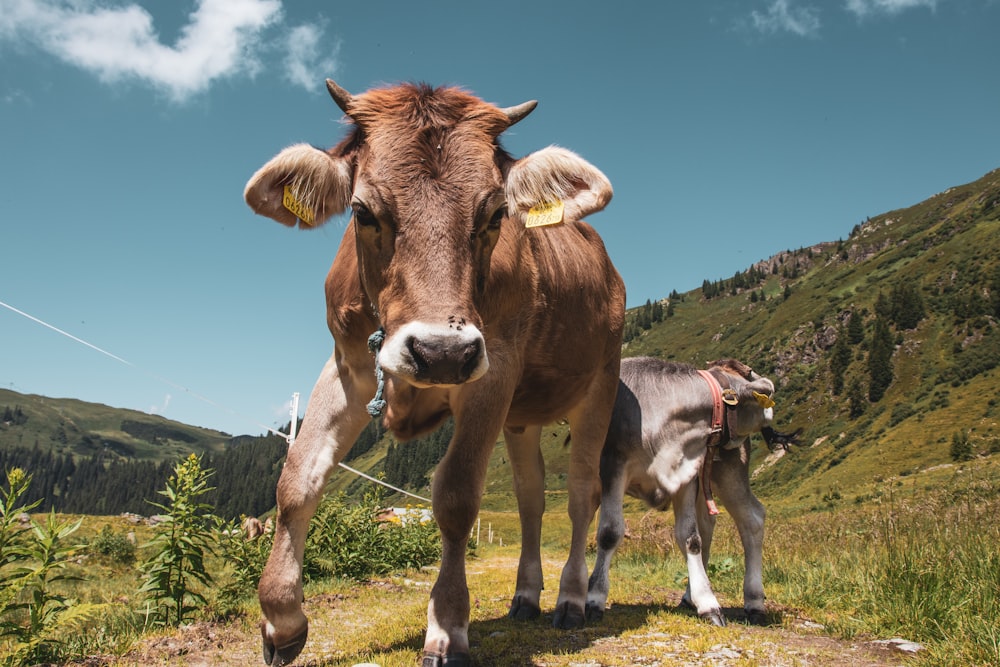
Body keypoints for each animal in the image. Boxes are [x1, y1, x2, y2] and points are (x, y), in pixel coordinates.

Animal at [244, 81, 616, 664]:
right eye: (362, 211)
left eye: (495, 214)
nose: (440, 352)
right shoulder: (349, 367)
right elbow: (298, 479)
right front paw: (281, 619)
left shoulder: (491, 369)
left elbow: (457, 496)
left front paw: (447, 626)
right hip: (521, 417)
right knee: (531, 498)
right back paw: (526, 596)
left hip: (600, 383)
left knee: (581, 495)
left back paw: (572, 600)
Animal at [584, 358, 796, 628]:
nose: (768, 390)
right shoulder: (613, 466)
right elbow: (609, 533)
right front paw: (594, 599)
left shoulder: (687, 473)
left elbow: (690, 538)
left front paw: (708, 602)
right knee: (714, 523)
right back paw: (692, 597)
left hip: (729, 471)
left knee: (750, 519)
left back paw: (754, 602)